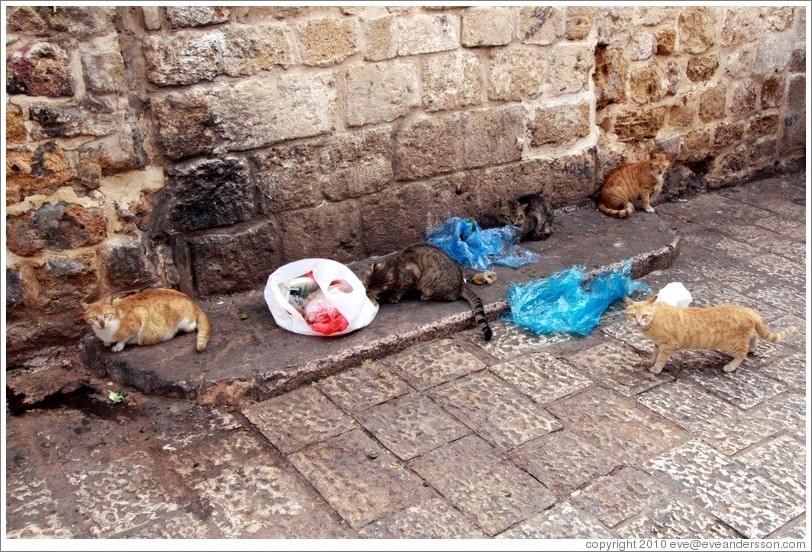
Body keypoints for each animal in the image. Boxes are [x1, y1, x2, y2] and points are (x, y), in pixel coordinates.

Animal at [81, 286, 209, 352]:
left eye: (106, 315)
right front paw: (107, 342)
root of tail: (192, 301)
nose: (102, 323)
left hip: (184, 323)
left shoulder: (140, 316)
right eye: (94, 318)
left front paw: (118, 346)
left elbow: (125, 338)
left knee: (191, 325)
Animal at [364, 243, 494, 338]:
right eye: (365, 284)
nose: (365, 292)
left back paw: (425, 296)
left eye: (371, 290)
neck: (393, 266)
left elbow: (400, 290)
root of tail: (461, 283)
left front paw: (394, 297)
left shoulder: (412, 277)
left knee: (449, 297)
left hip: (428, 283)